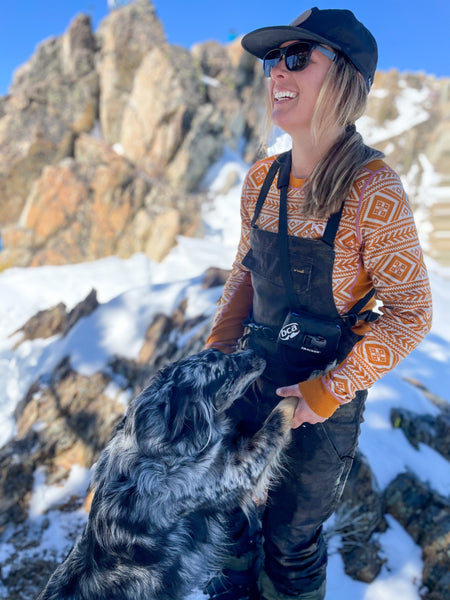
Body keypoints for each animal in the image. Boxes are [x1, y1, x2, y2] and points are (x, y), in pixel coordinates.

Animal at [37, 346, 298, 600]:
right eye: (228, 368)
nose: (258, 352)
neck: (156, 448)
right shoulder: (238, 473)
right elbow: (277, 418)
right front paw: (302, 392)